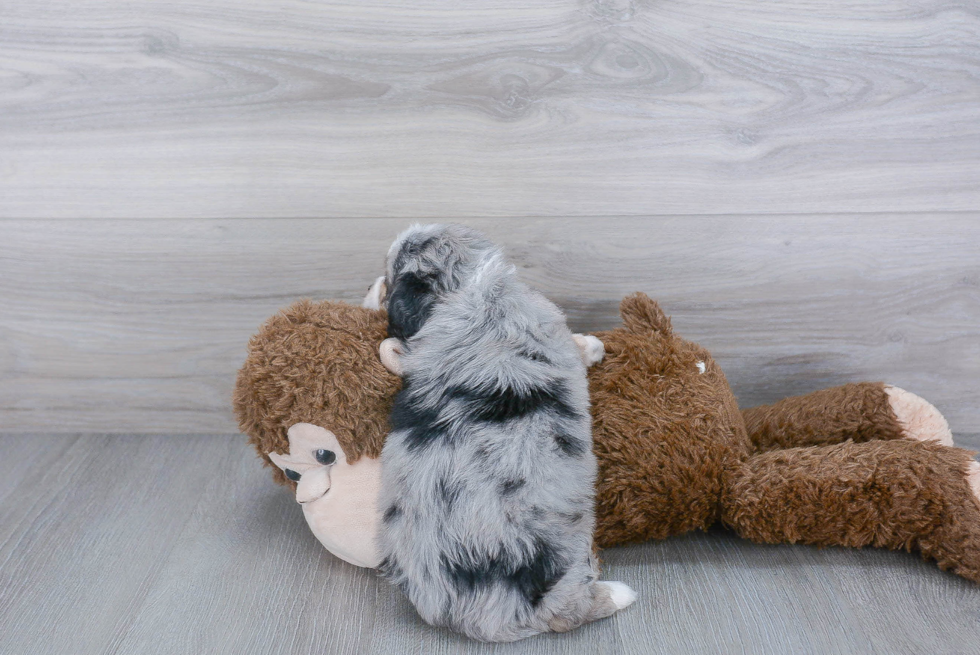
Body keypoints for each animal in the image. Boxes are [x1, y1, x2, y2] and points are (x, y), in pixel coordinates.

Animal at [374, 224, 636, 640]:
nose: (376, 286)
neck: (468, 287)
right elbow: (576, 344)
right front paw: (594, 345)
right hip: (566, 569)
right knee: (572, 611)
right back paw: (616, 592)